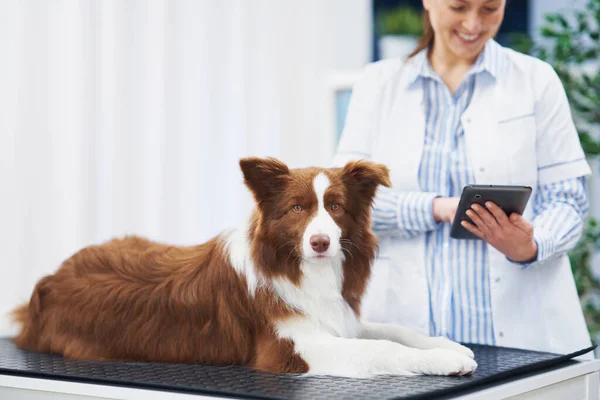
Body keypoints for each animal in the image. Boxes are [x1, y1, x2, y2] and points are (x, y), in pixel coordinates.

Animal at [11, 157, 476, 378]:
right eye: (297, 208)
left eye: (336, 207)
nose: (320, 242)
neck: (301, 267)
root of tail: (48, 281)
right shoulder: (292, 350)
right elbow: (381, 347)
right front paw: (445, 361)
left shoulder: (339, 318)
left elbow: (393, 331)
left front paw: (448, 345)